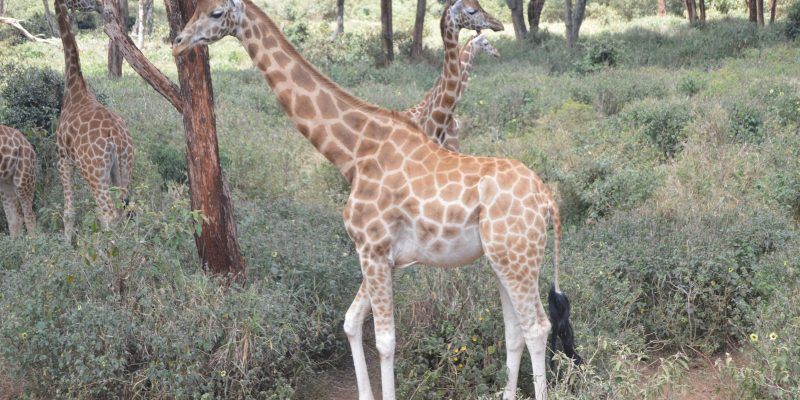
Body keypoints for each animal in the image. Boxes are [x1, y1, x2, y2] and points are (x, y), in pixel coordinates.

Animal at [54, 0, 134, 240]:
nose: (98, 6)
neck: (73, 87)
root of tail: (116, 137)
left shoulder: (62, 158)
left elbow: (69, 212)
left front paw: (67, 243)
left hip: (94, 173)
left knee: (110, 214)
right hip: (124, 166)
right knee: (125, 209)